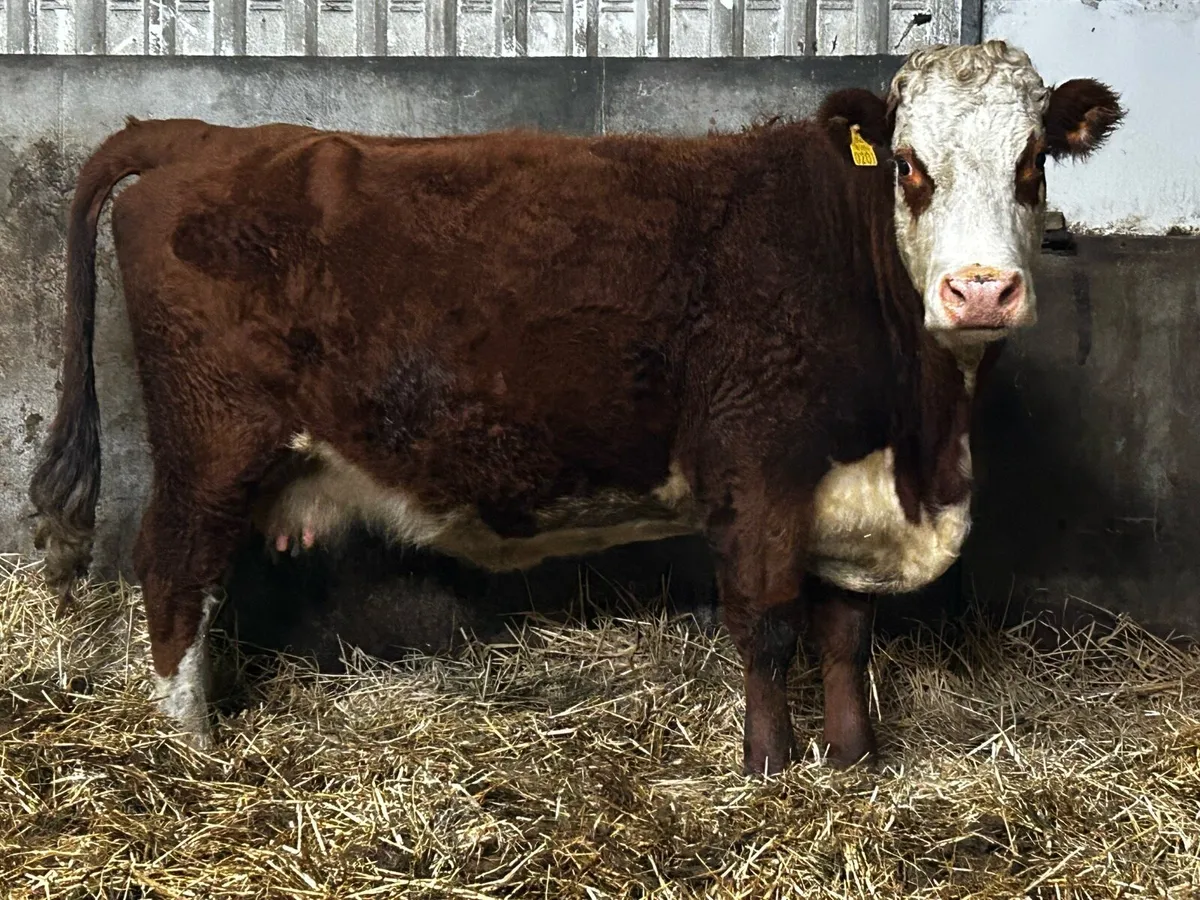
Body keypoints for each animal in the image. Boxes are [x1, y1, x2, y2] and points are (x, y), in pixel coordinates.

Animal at [29, 41, 1123, 775]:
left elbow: (845, 631)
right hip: (211, 442)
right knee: (173, 571)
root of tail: (201, 136)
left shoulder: (846, 489)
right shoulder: (754, 463)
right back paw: (187, 746)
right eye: (909, 165)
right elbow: (767, 623)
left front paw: (855, 761)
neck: (920, 439)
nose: (980, 291)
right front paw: (770, 769)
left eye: (1033, 162)